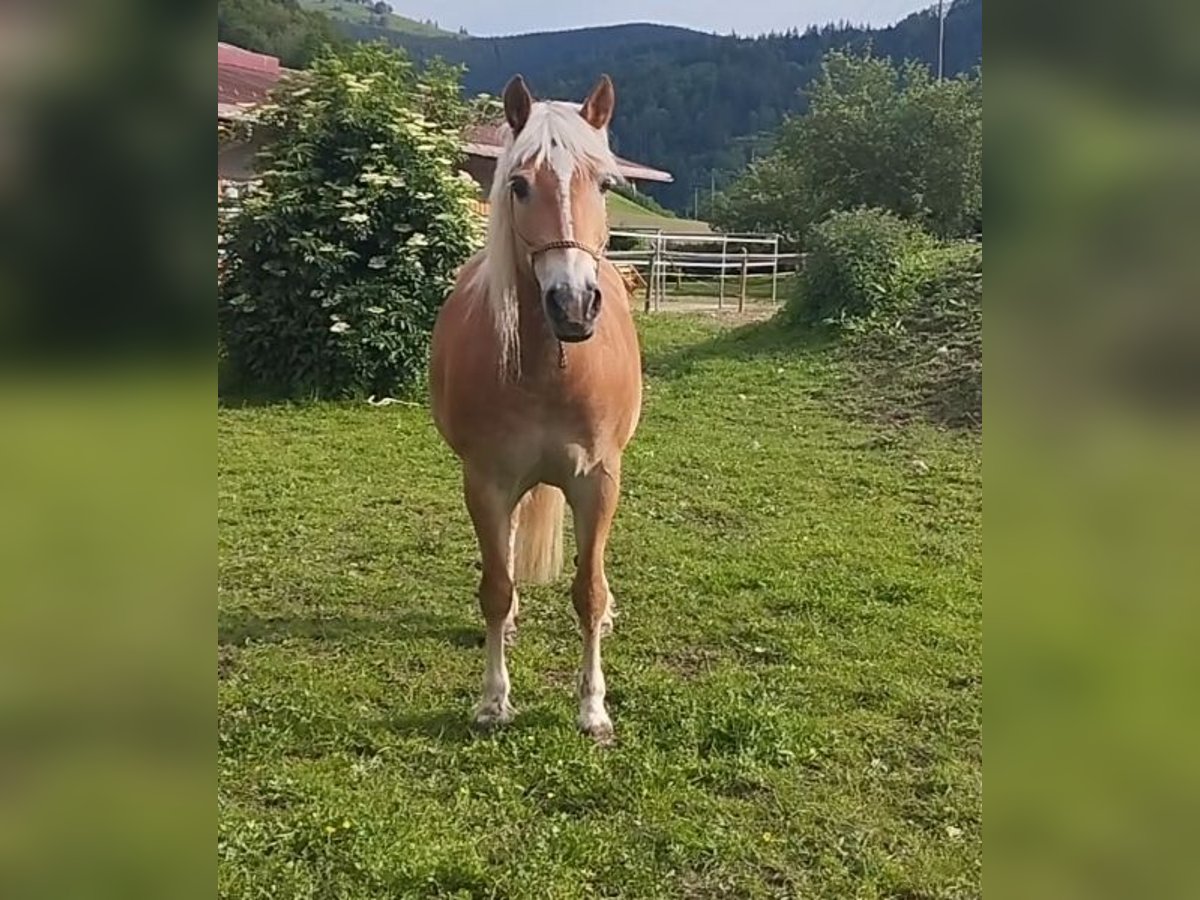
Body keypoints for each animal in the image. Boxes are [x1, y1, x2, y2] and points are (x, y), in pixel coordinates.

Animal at [427, 75, 643, 739]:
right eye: (519, 185)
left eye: (605, 184)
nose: (572, 303)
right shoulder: (487, 481)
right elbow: (496, 586)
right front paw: (493, 700)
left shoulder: (598, 480)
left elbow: (588, 590)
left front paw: (593, 708)